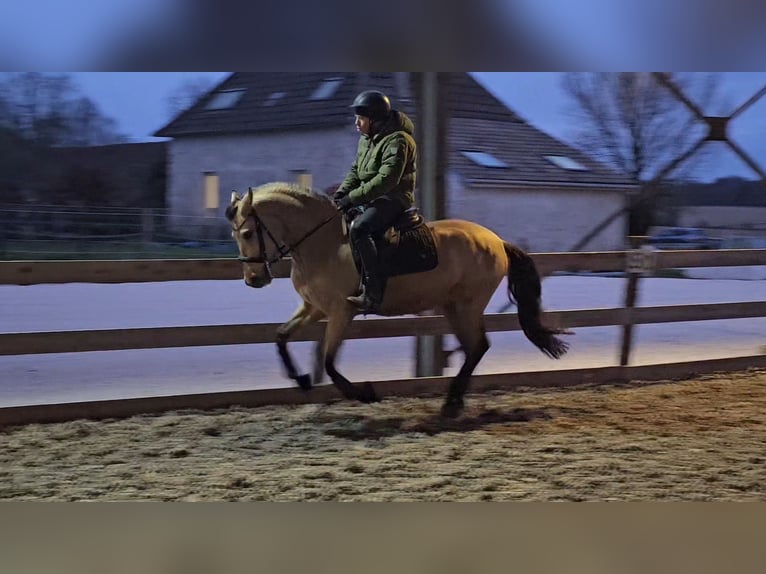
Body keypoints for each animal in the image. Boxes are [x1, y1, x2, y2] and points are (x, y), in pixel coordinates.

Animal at [225, 182, 572, 420]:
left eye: (247, 233)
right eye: (235, 235)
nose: (253, 279)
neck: (322, 244)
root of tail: (496, 241)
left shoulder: (341, 311)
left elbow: (329, 360)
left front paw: (365, 393)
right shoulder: (314, 308)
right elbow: (281, 337)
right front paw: (301, 379)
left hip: (467, 305)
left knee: (477, 347)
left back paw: (451, 404)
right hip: (453, 307)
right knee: (476, 348)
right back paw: (452, 403)